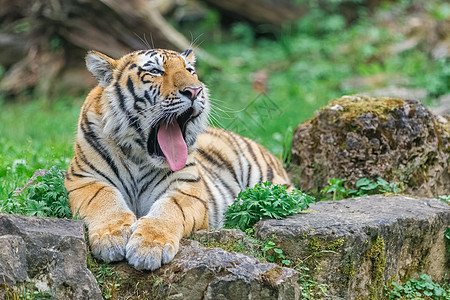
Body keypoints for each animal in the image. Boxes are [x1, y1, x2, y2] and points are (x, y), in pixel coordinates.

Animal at [66, 48, 292, 270]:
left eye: (190, 70)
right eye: (155, 71)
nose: (195, 91)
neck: (139, 156)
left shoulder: (188, 187)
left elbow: (169, 209)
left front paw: (149, 246)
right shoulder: (83, 178)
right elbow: (104, 199)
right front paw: (111, 238)